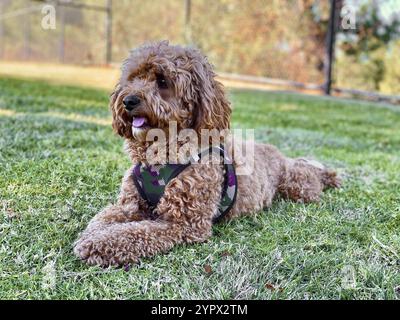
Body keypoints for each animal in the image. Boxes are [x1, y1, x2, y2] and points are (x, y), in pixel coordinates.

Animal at [73, 41, 340, 266]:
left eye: (162, 81)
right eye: (133, 77)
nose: (128, 100)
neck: (160, 156)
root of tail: (278, 154)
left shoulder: (183, 224)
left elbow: (134, 232)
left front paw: (98, 244)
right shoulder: (130, 206)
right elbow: (102, 218)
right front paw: (91, 235)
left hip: (299, 187)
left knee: (310, 176)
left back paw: (329, 176)